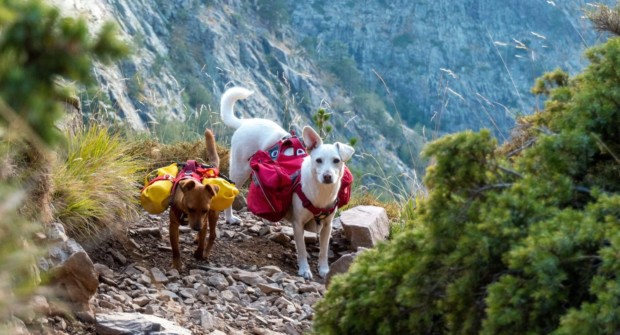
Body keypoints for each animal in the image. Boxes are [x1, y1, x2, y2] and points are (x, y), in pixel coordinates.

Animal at [170, 129, 220, 270]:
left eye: (204, 210)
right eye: (190, 208)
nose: (196, 228)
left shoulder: (204, 220)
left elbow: (203, 241)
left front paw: (199, 253)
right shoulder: (173, 225)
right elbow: (175, 247)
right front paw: (177, 263)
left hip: (213, 215)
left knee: (212, 235)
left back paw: (205, 252)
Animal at [219, 86, 354, 280]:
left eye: (336, 160)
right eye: (318, 160)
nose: (328, 177)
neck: (320, 193)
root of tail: (245, 123)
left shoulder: (327, 226)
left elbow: (323, 251)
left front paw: (324, 269)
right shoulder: (298, 224)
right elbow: (302, 250)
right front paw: (304, 270)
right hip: (239, 171)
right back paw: (229, 218)